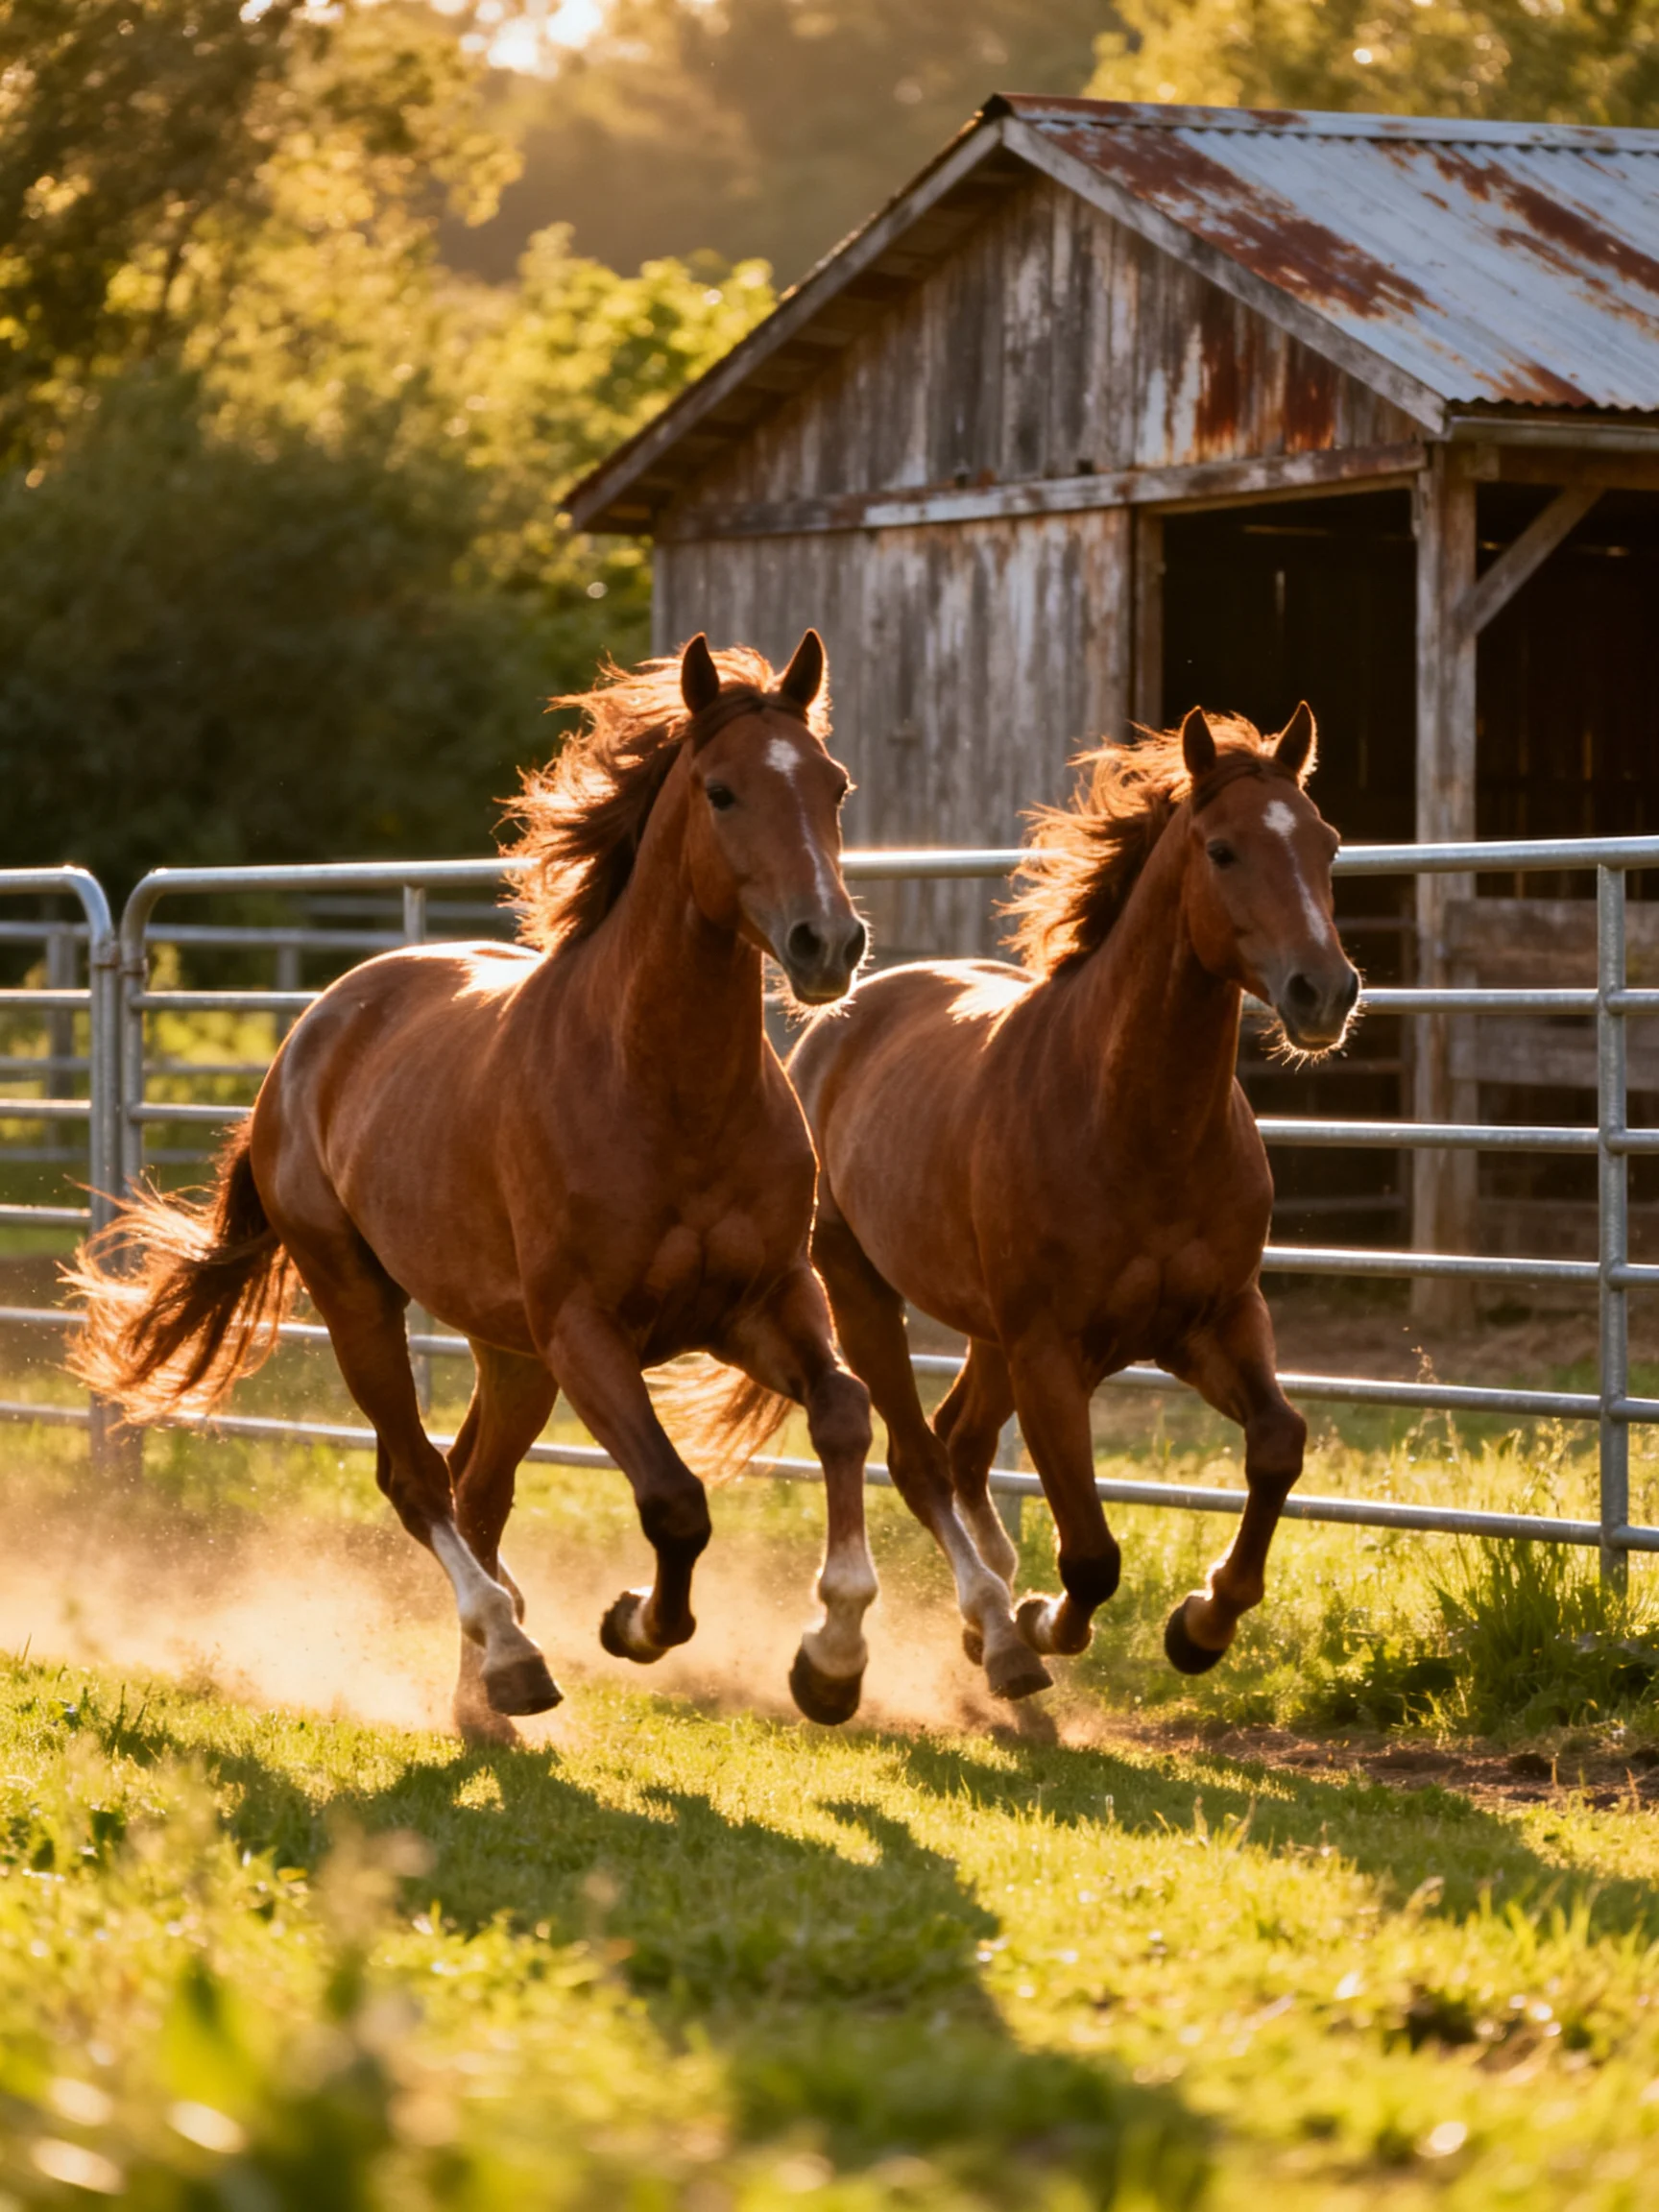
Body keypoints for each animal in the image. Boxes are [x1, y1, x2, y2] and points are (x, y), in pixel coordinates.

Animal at [70, 632, 886, 1739]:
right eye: (721, 792)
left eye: (834, 785)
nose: (826, 944)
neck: (663, 1087)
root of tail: (312, 1035)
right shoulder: (587, 1330)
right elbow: (674, 1500)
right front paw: (634, 1623)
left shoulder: (759, 1302)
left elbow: (843, 1415)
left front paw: (831, 1661)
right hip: (363, 1301)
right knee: (417, 1478)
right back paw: (510, 1656)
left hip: (510, 1353)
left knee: (476, 1487)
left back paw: (486, 1698)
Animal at [785, 704, 1360, 1700]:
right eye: (1222, 850)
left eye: (1325, 843)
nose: (1324, 991)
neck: (1133, 1124)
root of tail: (835, 1026)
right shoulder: (1051, 1354)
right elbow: (1091, 1554)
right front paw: (1043, 1623)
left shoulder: (1215, 1320)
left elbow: (1279, 1442)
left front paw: (1203, 1625)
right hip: (864, 1294)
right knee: (921, 1457)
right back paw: (981, 1638)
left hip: (986, 1334)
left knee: (963, 1444)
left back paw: (985, 1625)